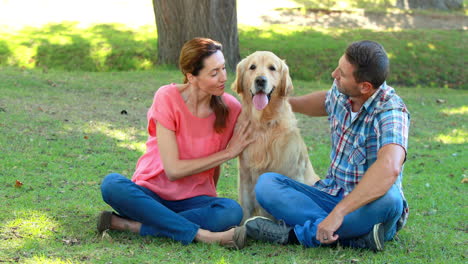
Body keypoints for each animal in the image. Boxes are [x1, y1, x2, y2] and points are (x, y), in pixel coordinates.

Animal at [232, 51, 320, 221]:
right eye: (252, 67)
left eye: (272, 68)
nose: (260, 80)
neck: (263, 124)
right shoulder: (245, 173)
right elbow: (245, 206)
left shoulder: (292, 170)